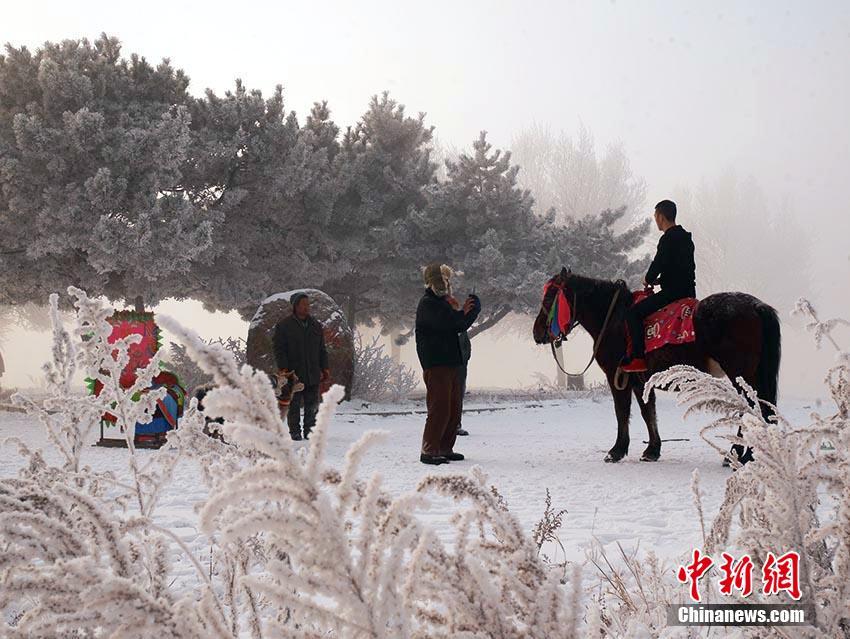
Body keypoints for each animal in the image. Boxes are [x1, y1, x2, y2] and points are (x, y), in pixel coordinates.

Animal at [532, 268, 780, 462]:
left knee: (753, 407)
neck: (613, 319)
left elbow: (622, 411)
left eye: (550, 297)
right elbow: (647, 411)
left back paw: (738, 454)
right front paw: (652, 450)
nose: (537, 332)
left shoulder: (616, 376)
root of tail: (757, 306)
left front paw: (616, 451)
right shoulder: (639, 380)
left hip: (740, 373)